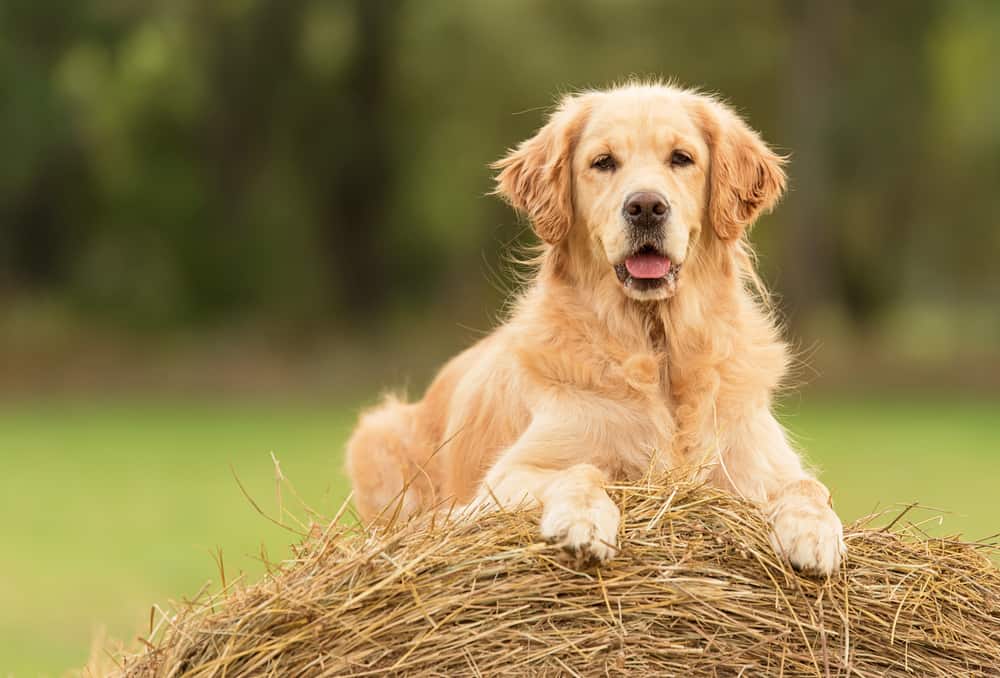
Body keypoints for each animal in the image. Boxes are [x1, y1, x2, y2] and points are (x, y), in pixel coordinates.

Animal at [348, 81, 848, 580]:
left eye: (681, 158)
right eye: (603, 162)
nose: (646, 207)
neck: (657, 347)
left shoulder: (758, 464)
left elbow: (809, 488)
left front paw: (815, 535)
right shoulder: (506, 476)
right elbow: (581, 472)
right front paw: (583, 521)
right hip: (377, 433)